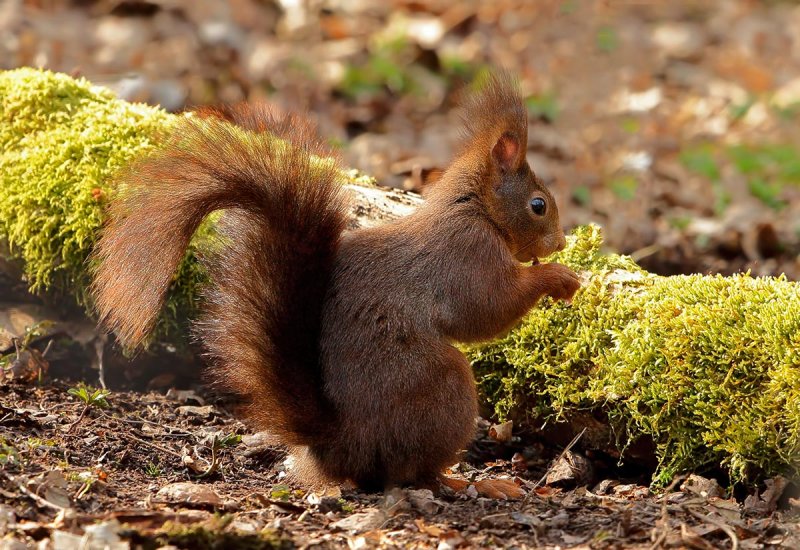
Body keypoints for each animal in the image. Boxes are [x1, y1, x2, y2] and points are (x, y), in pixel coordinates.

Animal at [92, 71, 580, 498]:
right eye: (538, 205)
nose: (559, 242)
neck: (473, 207)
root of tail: (339, 440)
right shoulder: (467, 254)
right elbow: (487, 308)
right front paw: (557, 277)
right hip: (443, 387)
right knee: (413, 473)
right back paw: (469, 482)